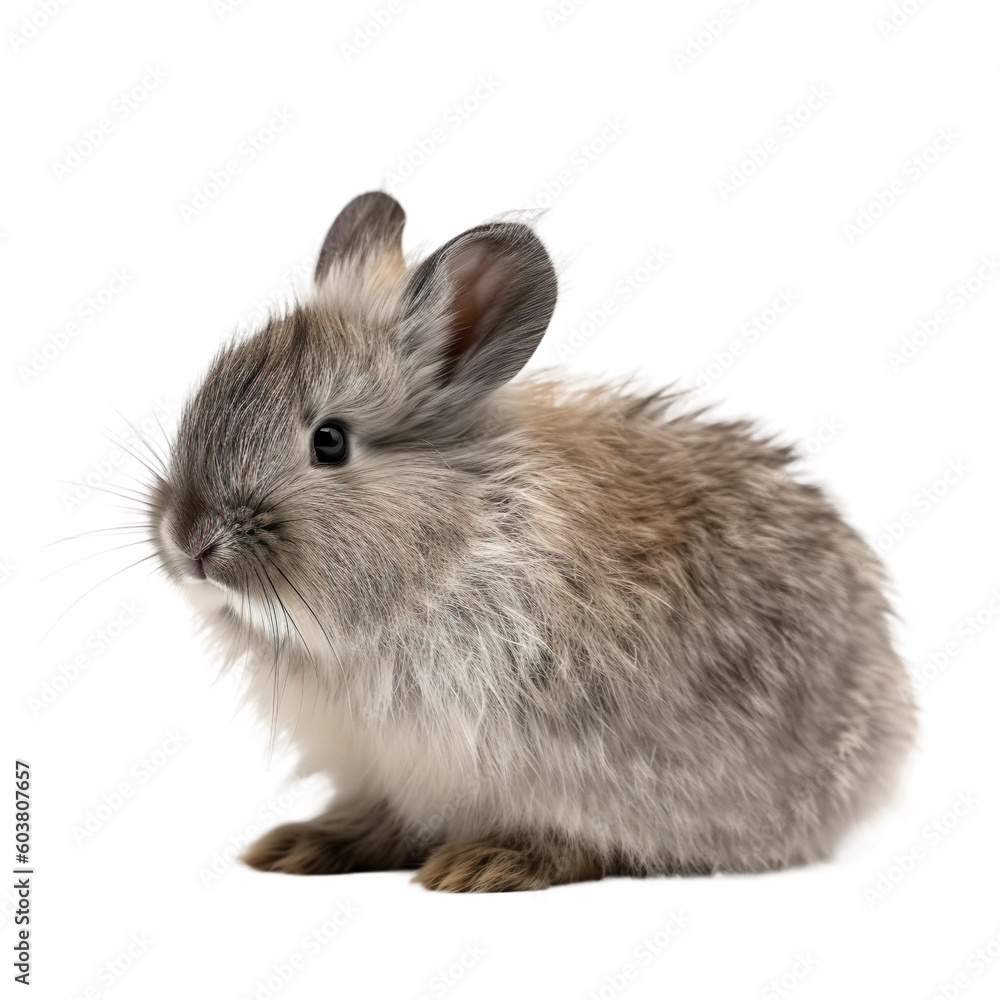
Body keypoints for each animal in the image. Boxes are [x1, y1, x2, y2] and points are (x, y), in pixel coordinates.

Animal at [148, 191, 916, 892]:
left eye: (330, 442)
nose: (191, 542)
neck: (455, 548)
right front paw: (304, 846)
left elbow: (576, 838)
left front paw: (487, 864)